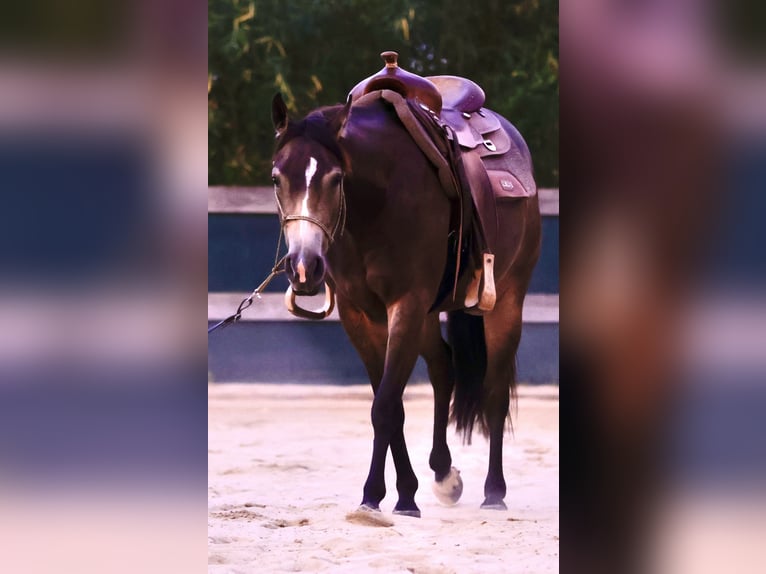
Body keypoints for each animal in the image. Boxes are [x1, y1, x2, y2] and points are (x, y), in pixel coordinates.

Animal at [269, 82, 541, 516]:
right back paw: (444, 472)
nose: (304, 267)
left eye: (335, 178)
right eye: (277, 178)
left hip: (507, 300)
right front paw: (405, 493)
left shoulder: (407, 304)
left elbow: (384, 405)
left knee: (495, 392)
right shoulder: (360, 315)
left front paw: (373, 495)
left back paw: (494, 492)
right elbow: (391, 403)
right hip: (428, 316)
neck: (375, 202)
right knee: (444, 367)